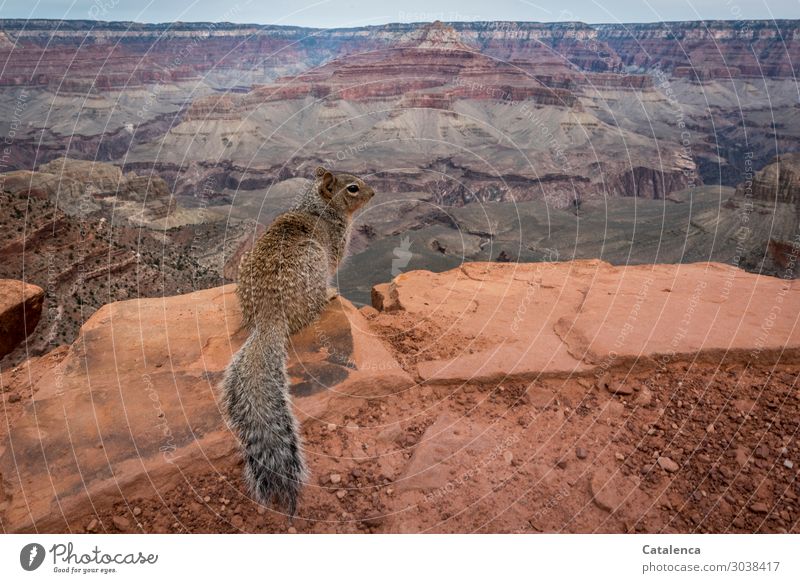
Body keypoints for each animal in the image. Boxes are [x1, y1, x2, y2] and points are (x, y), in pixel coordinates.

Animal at [222, 165, 376, 516]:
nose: (375, 193)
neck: (318, 206)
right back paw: (329, 296)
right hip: (316, 265)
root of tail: (268, 317)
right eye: (352, 188)